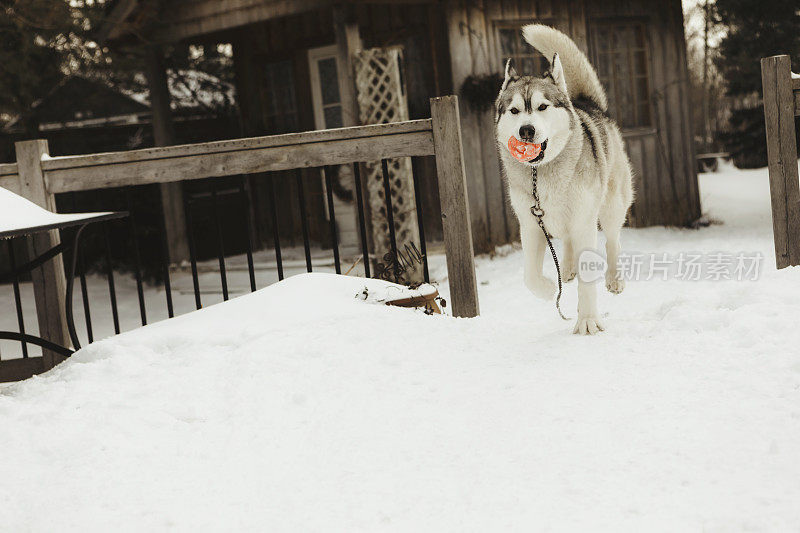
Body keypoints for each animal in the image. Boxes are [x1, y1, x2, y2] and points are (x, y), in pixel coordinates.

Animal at [494, 26, 632, 332]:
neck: (542, 174)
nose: (526, 131)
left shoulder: (584, 222)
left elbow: (588, 280)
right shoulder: (530, 226)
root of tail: (588, 104)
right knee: (568, 243)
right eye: (514, 111)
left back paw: (614, 278)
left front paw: (588, 321)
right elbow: (529, 276)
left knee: (613, 240)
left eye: (542, 107)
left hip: (612, 204)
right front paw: (548, 290)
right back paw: (566, 268)